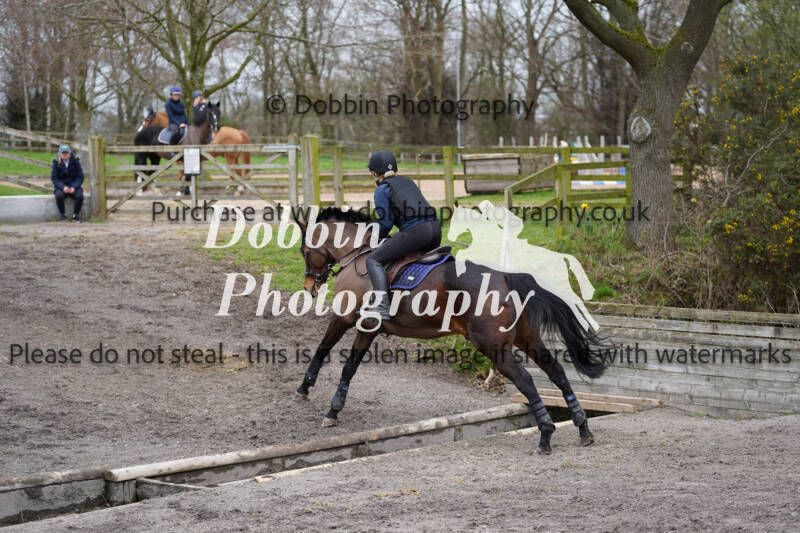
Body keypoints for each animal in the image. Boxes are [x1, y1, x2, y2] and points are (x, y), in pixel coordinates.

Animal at [294, 207, 609, 455]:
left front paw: (307, 391)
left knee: (526, 381)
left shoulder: (347, 318)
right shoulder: (367, 328)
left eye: (304, 251)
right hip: (527, 338)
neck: (358, 257)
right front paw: (333, 408)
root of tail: (506, 277)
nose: (310, 287)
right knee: (556, 371)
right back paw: (583, 428)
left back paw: (545, 436)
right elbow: (349, 366)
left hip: (492, 346)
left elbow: (324, 350)